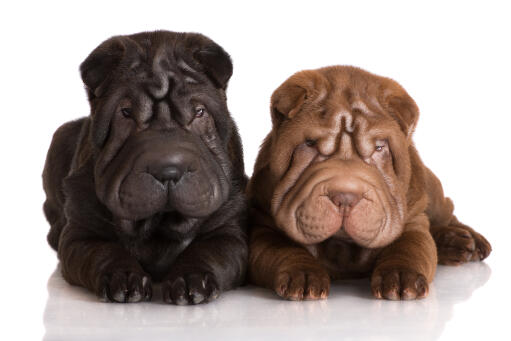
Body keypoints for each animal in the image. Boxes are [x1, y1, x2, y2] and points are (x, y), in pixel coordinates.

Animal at [43, 31, 247, 302]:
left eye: (199, 112)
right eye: (126, 113)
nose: (168, 170)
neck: (160, 225)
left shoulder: (228, 230)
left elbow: (208, 252)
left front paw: (191, 280)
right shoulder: (81, 233)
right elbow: (104, 252)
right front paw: (124, 278)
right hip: (60, 137)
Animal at [248, 65, 492, 298]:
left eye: (379, 147)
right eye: (310, 143)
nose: (345, 197)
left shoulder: (412, 220)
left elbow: (410, 247)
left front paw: (401, 277)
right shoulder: (262, 226)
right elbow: (282, 250)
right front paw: (304, 276)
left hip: (430, 191)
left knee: (447, 209)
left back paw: (466, 241)